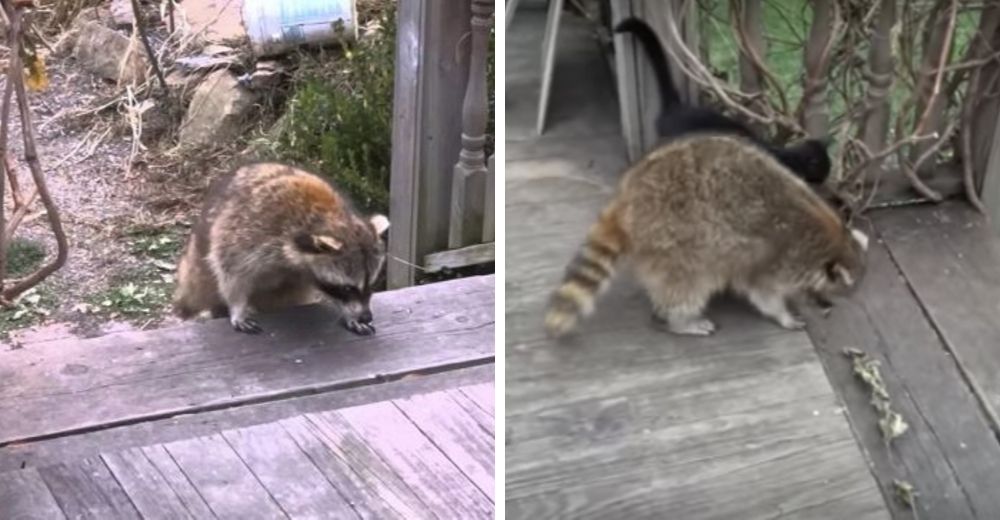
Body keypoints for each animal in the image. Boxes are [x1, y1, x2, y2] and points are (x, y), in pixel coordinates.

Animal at [172, 160, 390, 336]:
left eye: (372, 284)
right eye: (348, 287)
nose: (366, 316)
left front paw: (349, 313)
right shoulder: (247, 232)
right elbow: (231, 272)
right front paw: (237, 307)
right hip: (196, 270)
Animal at [548, 134, 868, 338]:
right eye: (840, 291)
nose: (830, 305)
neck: (830, 241)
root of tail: (628, 196)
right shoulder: (774, 257)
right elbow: (762, 291)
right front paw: (783, 314)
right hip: (675, 241)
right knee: (688, 285)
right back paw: (679, 320)